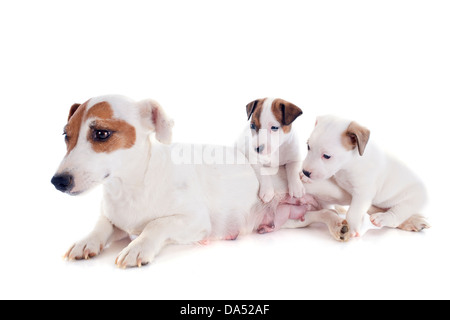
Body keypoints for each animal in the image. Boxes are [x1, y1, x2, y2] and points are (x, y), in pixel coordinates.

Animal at [50, 95, 352, 268]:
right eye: (66, 135)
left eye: (101, 133)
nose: (57, 182)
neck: (130, 187)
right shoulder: (115, 218)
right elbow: (101, 225)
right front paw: (86, 242)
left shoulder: (194, 220)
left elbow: (156, 225)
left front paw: (137, 247)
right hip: (292, 219)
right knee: (320, 214)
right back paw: (338, 225)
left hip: (321, 185)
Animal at [300, 115, 430, 238]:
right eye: (308, 146)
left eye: (326, 156)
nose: (306, 172)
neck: (349, 163)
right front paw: (304, 176)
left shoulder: (363, 193)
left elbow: (353, 211)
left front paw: (351, 228)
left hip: (410, 201)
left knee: (396, 216)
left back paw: (383, 218)